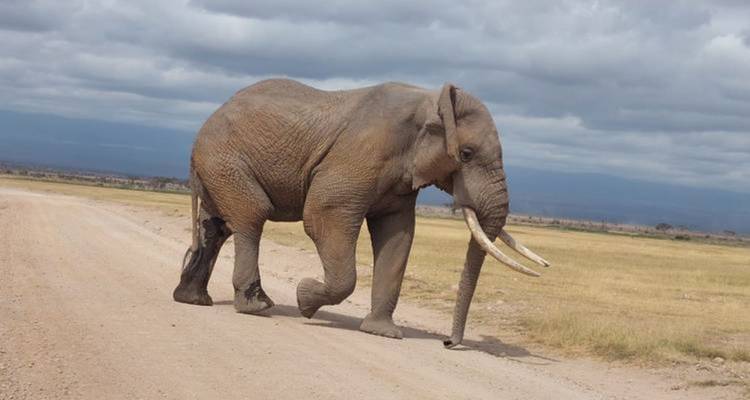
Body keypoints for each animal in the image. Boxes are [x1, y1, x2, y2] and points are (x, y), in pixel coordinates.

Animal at [172, 79, 549, 348]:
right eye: (467, 154)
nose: (447, 343)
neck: (429, 101)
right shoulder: (359, 156)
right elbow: (323, 213)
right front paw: (305, 300)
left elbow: (398, 237)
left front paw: (382, 333)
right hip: (225, 160)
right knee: (251, 216)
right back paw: (258, 307)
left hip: (217, 167)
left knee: (215, 228)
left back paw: (194, 301)